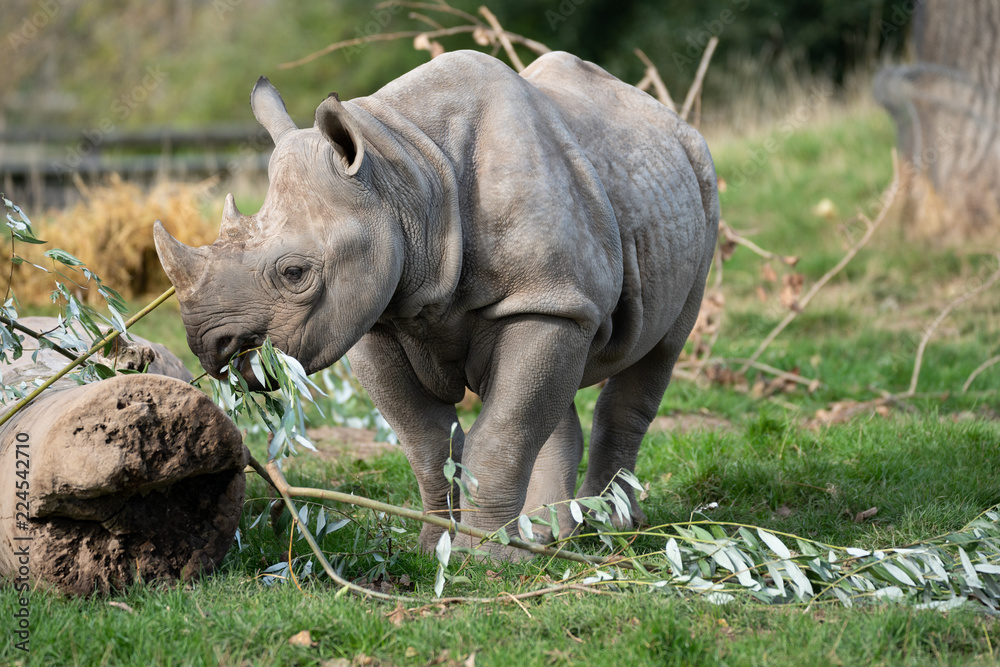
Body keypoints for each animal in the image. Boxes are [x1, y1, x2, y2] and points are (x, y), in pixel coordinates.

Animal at [154, 50, 719, 559]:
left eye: (295, 274)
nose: (210, 345)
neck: (403, 176)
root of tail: (665, 117)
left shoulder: (541, 300)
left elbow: (503, 431)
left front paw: (488, 557)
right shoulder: (377, 316)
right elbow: (427, 440)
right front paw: (436, 549)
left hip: (699, 183)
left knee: (657, 354)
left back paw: (609, 533)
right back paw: (551, 535)